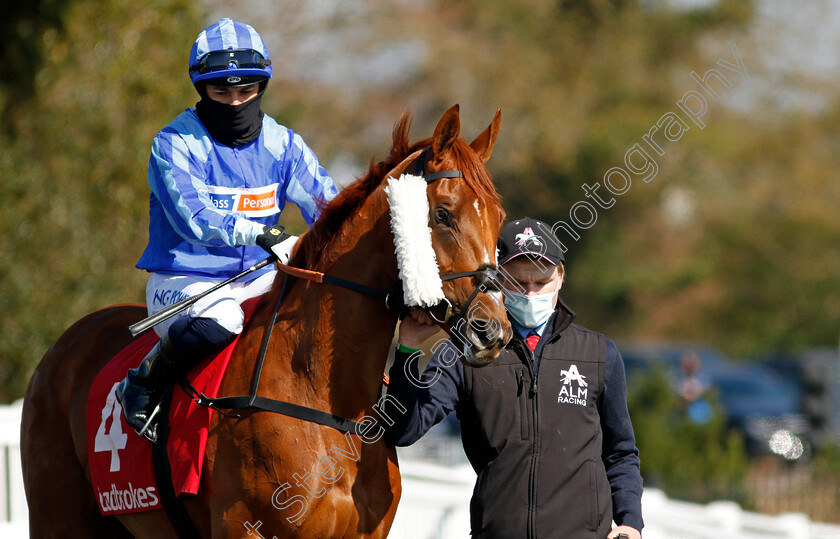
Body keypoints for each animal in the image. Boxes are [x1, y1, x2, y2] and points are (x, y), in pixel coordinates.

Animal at [21, 105, 512, 539]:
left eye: (499, 216)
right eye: (443, 214)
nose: (494, 332)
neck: (327, 406)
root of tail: (68, 342)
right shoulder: (244, 528)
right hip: (58, 517)